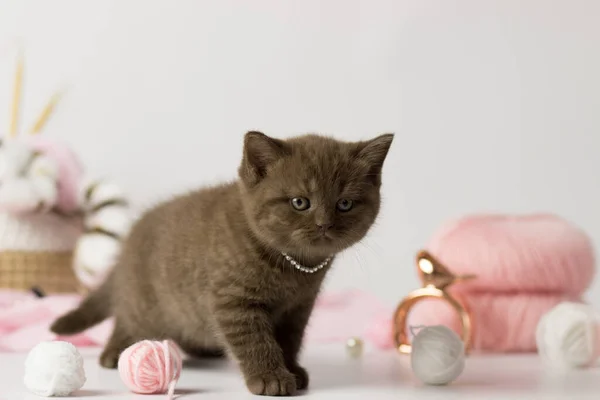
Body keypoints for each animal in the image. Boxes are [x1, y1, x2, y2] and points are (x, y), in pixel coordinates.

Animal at [51, 132, 394, 396]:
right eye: (300, 202)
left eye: (344, 204)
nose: (325, 224)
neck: (293, 267)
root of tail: (128, 242)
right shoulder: (234, 301)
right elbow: (255, 340)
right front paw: (270, 377)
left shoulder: (298, 307)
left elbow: (290, 340)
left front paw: (292, 369)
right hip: (146, 300)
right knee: (126, 317)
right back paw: (113, 352)